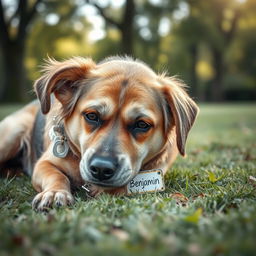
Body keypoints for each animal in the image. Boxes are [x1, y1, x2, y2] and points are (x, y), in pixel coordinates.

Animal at [0, 56, 199, 210]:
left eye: (142, 124)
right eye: (92, 115)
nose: (102, 168)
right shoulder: (44, 163)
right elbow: (56, 175)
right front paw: (55, 192)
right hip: (13, 133)